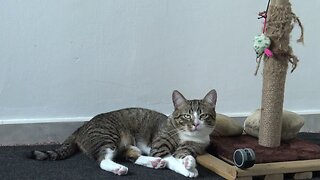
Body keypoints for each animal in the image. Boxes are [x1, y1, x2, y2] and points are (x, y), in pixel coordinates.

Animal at [30, 89, 218, 176]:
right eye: (187, 115)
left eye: (203, 115)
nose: (195, 124)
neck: (187, 135)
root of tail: (82, 126)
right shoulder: (160, 146)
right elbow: (170, 158)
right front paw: (187, 169)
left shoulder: (194, 146)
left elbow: (184, 155)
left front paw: (189, 163)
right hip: (107, 136)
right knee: (103, 159)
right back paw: (119, 168)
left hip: (126, 143)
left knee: (130, 155)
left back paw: (154, 163)